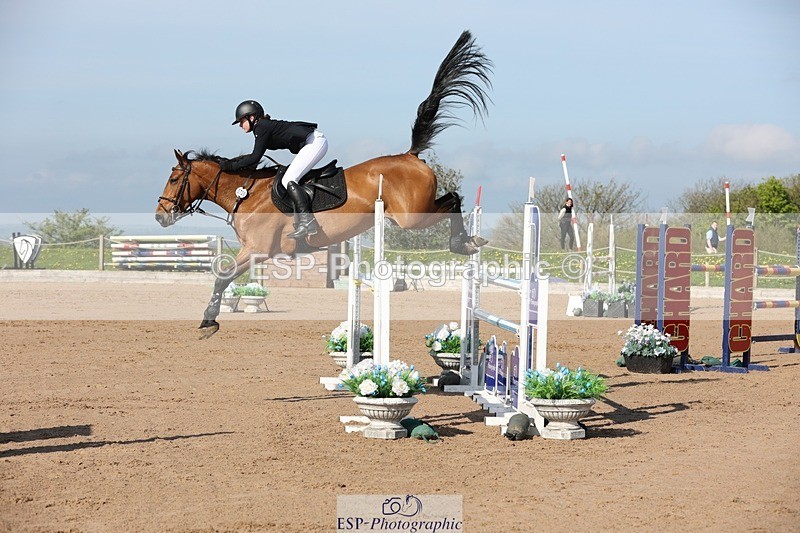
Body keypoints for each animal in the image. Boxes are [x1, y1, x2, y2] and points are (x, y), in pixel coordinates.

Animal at [155, 30, 493, 339]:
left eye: (174, 179)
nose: (160, 216)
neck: (246, 195)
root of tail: (410, 155)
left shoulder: (257, 250)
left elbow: (222, 277)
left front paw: (208, 322)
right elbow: (223, 276)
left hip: (412, 216)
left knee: (453, 198)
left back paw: (463, 242)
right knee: (450, 199)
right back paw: (467, 242)